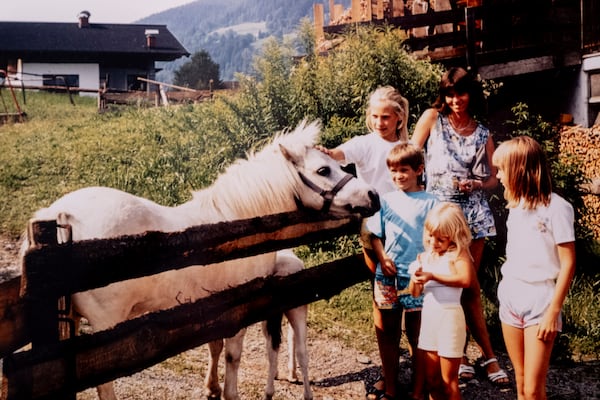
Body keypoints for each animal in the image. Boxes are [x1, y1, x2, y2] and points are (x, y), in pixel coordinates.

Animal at [23, 121, 380, 400]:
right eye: (322, 170)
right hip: (105, 328)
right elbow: (233, 356)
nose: (372, 196)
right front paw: (230, 393)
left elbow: (214, 347)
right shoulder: (240, 308)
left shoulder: (214, 306)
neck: (238, 223)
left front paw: (211, 388)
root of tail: (61, 214)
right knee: (104, 383)